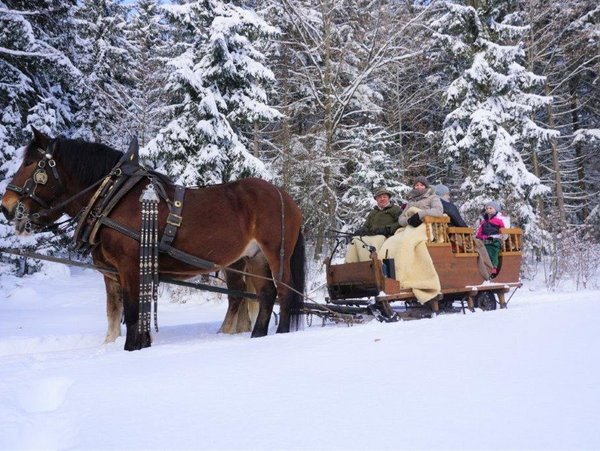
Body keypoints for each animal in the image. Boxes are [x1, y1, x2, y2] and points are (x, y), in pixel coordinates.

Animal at [1, 129, 304, 352]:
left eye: (30, 164)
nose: (7, 206)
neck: (112, 196)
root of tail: (284, 196)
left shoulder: (129, 266)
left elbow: (134, 311)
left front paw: (132, 348)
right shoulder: (111, 272)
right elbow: (114, 313)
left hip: (275, 254)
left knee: (285, 294)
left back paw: (281, 336)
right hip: (254, 258)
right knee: (265, 295)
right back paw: (257, 337)